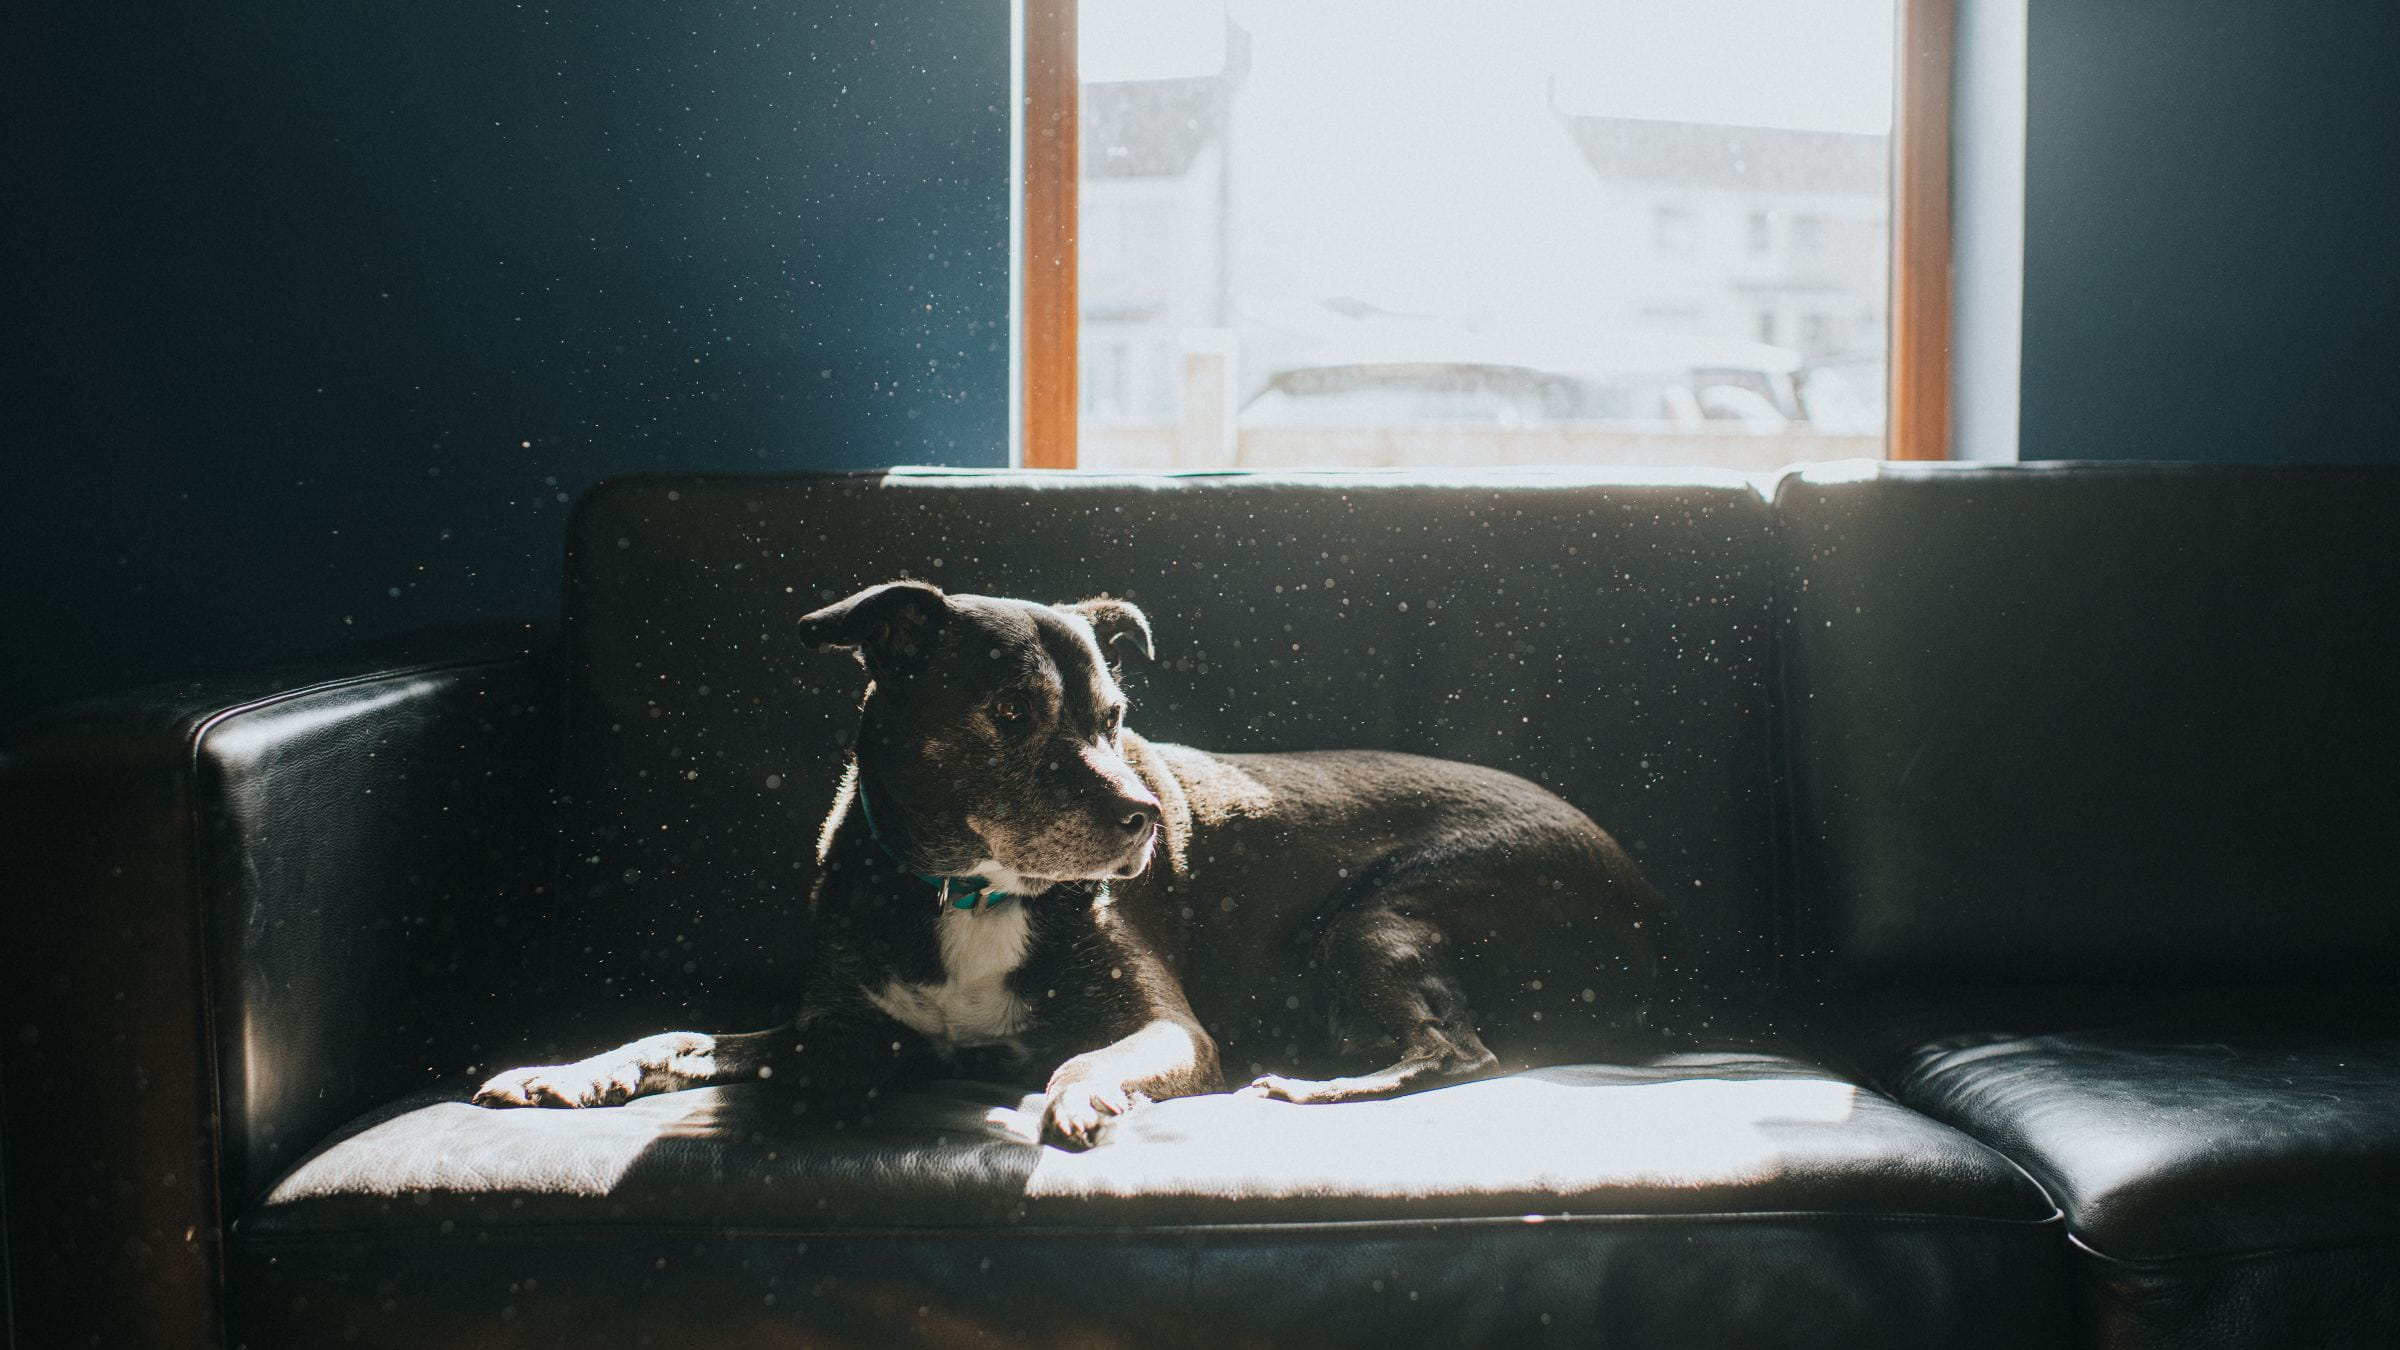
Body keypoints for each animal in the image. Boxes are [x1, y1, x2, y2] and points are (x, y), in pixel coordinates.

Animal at [468, 581, 1670, 1143]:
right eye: (1011, 713)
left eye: (1115, 717)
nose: (1143, 818)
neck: (972, 890)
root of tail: (1658, 924)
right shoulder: (842, 1030)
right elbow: (681, 1037)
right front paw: (572, 1069)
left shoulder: (1172, 1030)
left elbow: (1085, 1058)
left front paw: (1075, 1093)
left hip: (1385, 916)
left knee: (1457, 1047)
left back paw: (1320, 1083)